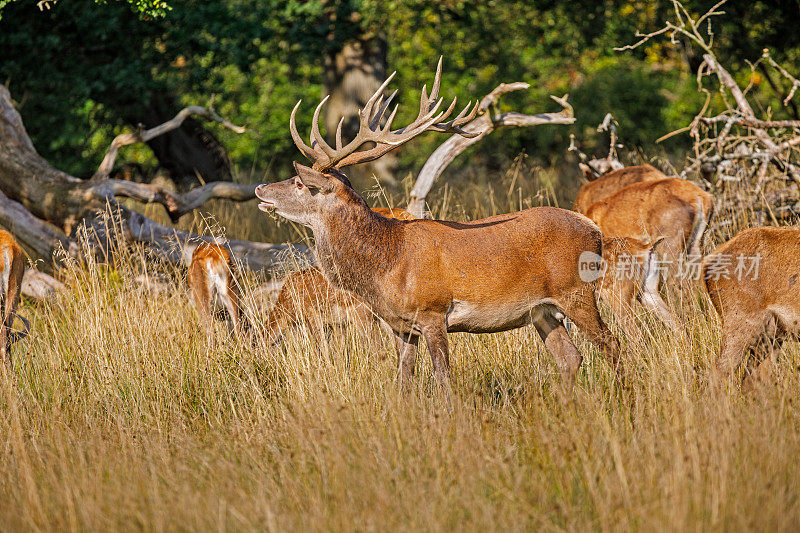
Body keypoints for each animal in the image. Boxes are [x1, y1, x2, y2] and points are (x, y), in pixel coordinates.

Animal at [255, 59, 620, 400]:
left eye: (300, 183)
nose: (260, 188)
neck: (387, 263)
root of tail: (594, 229)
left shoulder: (433, 311)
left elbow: (443, 379)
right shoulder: (401, 326)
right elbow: (403, 380)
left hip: (577, 291)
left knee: (611, 345)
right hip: (541, 310)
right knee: (570, 357)